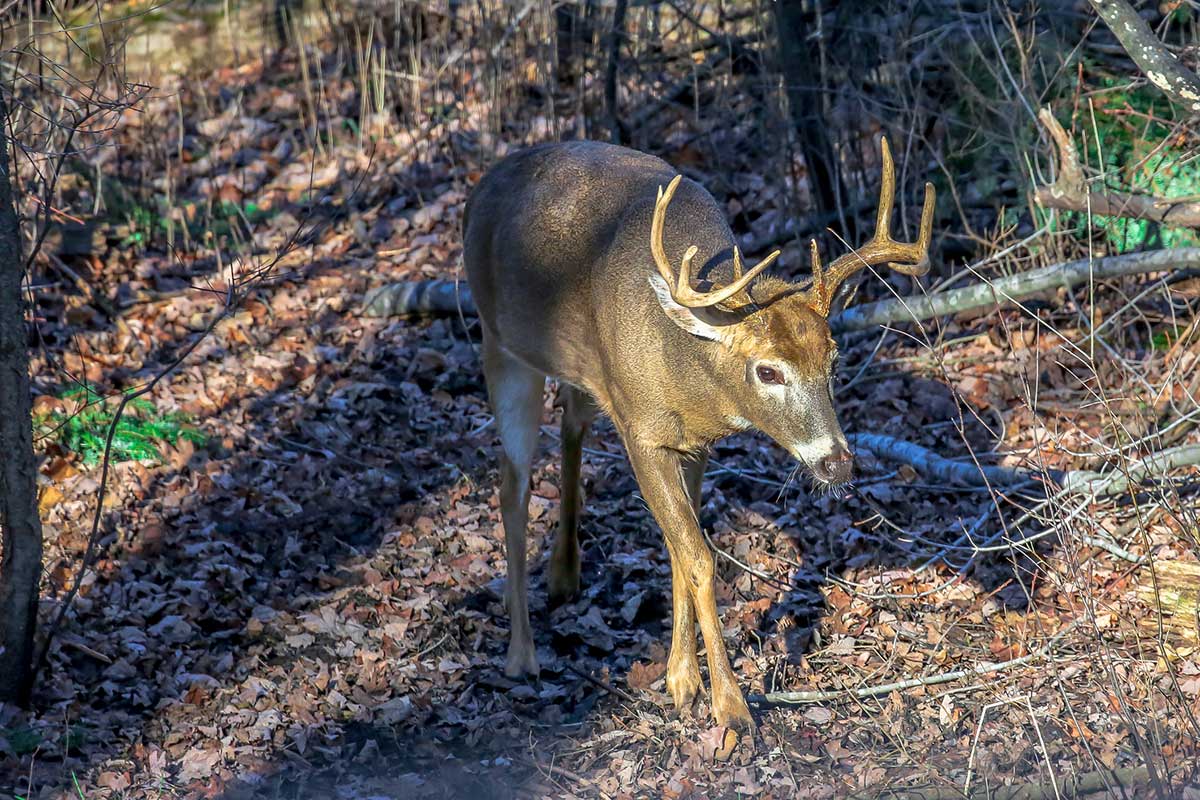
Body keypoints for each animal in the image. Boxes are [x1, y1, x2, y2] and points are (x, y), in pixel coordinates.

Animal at [463, 137, 931, 734]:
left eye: (833, 359)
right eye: (768, 371)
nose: (838, 462)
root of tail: (483, 186)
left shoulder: (693, 444)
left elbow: (678, 548)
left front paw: (681, 680)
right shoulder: (642, 432)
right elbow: (700, 557)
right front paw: (730, 707)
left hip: (577, 374)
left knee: (570, 425)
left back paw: (564, 574)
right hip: (500, 345)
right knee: (512, 484)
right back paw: (521, 654)